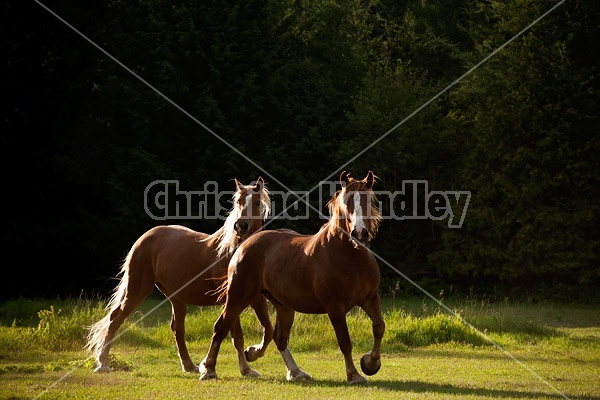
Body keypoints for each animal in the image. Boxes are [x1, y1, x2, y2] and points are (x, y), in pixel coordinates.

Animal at [86, 177, 274, 376]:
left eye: (256, 202)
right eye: (238, 201)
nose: (240, 226)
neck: (233, 252)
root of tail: (145, 237)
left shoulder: (256, 298)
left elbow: (268, 330)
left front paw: (251, 357)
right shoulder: (231, 300)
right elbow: (236, 336)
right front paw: (245, 367)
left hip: (176, 299)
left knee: (177, 329)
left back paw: (189, 365)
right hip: (137, 290)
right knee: (115, 318)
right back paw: (103, 363)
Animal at [200, 171, 384, 384]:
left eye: (367, 199)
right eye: (347, 202)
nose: (359, 233)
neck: (352, 259)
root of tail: (246, 243)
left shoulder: (370, 299)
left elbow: (379, 327)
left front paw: (370, 363)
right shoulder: (335, 308)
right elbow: (345, 341)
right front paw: (354, 374)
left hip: (283, 306)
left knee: (279, 338)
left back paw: (294, 371)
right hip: (239, 297)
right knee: (221, 327)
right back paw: (209, 369)